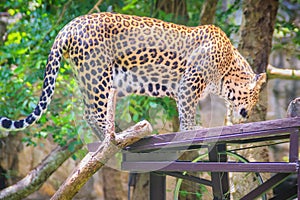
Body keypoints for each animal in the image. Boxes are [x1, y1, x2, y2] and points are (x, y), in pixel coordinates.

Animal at [0, 11, 266, 138]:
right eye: (255, 98)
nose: (249, 113)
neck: (229, 65)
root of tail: (69, 26)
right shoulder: (189, 84)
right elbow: (187, 111)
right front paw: (190, 130)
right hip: (98, 75)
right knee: (92, 113)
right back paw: (115, 137)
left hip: (85, 77)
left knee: (87, 112)